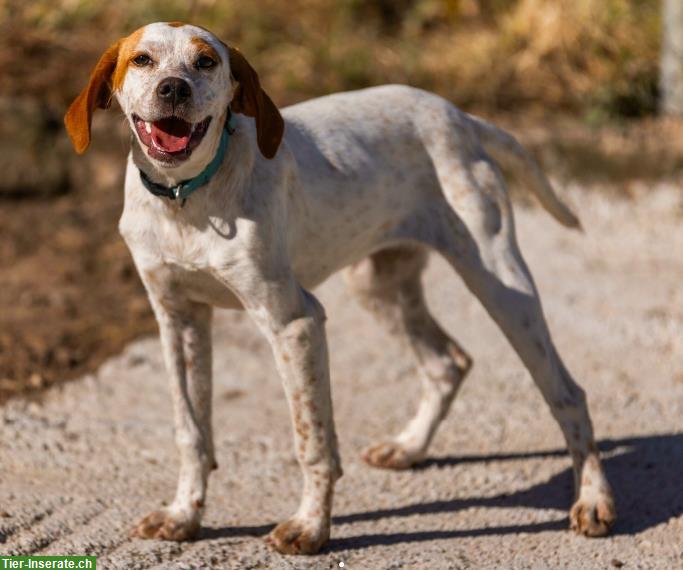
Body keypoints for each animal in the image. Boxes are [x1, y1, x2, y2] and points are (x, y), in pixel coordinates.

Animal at [65, 22, 620, 556]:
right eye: (142, 59)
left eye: (206, 62)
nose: (173, 89)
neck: (186, 199)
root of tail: (458, 115)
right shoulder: (178, 318)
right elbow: (191, 432)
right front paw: (184, 515)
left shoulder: (293, 322)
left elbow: (311, 442)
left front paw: (311, 526)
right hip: (378, 285)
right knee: (447, 363)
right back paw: (409, 447)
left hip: (501, 283)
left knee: (567, 394)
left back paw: (593, 500)